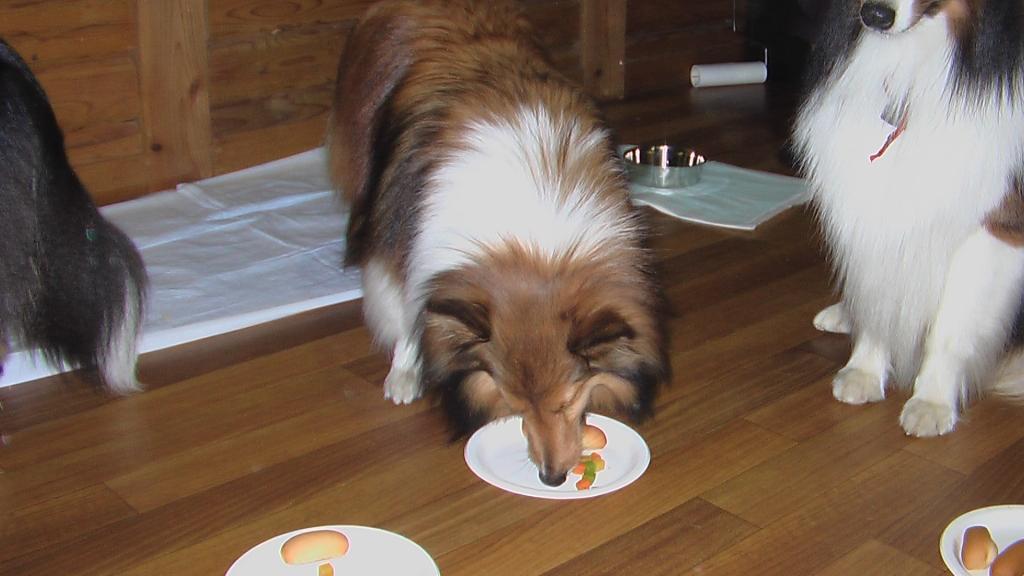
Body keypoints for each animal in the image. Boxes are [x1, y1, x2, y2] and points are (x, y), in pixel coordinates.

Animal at [328, 0, 669, 485]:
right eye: (515, 402)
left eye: (567, 401)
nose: (552, 478)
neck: (533, 229)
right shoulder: (402, 239)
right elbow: (408, 310)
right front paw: (406, 372)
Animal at [793, 0, 1024, 437]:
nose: (876, 16)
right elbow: (878, 294)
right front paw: (865, 372)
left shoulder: (995, 227)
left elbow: (950, 327)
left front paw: (932, 401)